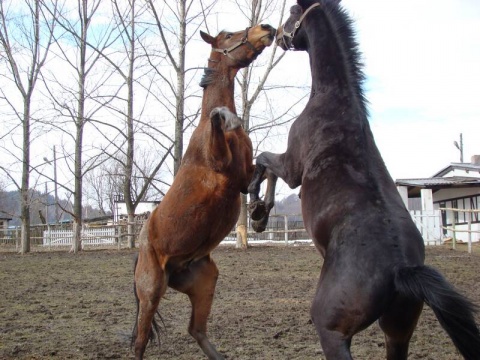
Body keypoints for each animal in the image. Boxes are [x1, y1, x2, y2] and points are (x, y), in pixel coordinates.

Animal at [132, 23, 274, 358]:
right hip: (151, 291)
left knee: (196, 330)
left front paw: (259, 213)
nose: (266, 28)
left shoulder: (242, 175)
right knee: (140, 343)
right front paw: (228, 117)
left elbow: (265, 168)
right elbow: (217, 116)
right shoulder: (222, 168)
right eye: (228, 36)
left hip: (205, 281)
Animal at [248, 1, 480, 358]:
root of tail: (400, 269)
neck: (336, 101)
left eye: (292, 13)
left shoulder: (292, 167)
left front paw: (258, 212)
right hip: (397, 333)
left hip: (333, 332)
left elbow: (263, 161)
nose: (278, 35)